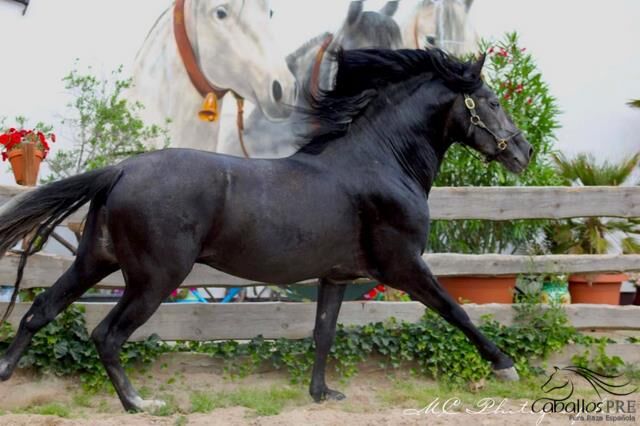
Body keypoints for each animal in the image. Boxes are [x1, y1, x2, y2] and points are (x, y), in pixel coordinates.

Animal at [0, 48, 528, 412]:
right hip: (153, 279)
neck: (382, 162)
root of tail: (122, 170)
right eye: (491, 101)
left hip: (95, 260)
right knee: (106, 336)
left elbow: (323, 332)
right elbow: (456, 310)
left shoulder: (336, 276)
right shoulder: (403, 266)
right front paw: (505, 366)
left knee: (39, 312)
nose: (522, 152)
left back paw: (6, 373)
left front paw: (322, 393)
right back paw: (139, 404)